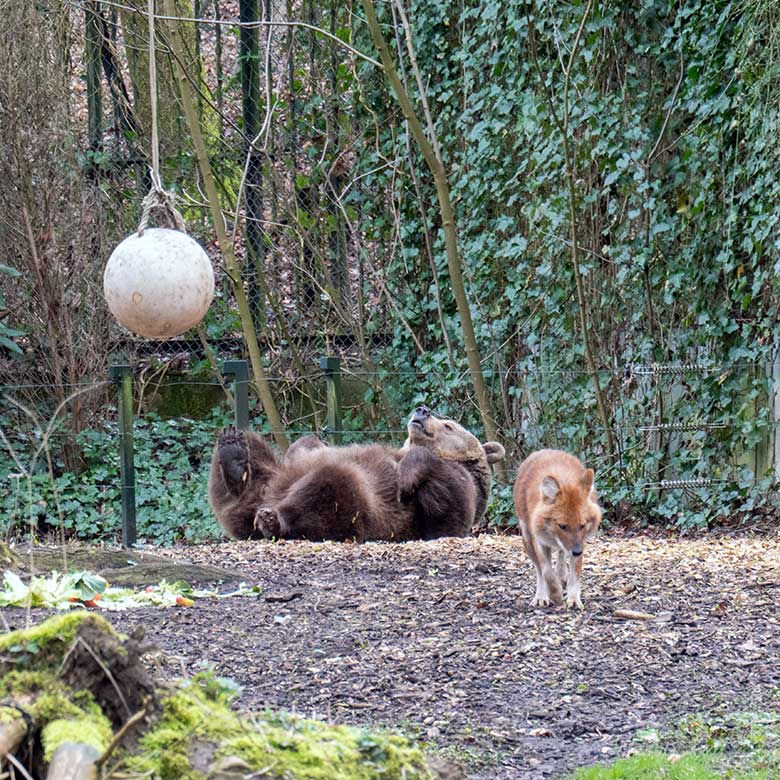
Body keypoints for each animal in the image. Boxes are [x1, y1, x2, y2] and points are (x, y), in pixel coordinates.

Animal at [207, 408, 506, 544]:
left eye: (448, 425)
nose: (422, 409)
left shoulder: (456, 487)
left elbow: (446, 511)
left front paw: (406, 476)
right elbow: (304, 445)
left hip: (359, 507)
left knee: (330, 484)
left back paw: (271, 519)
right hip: (269, 478)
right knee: (255, 454)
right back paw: (234, 454)